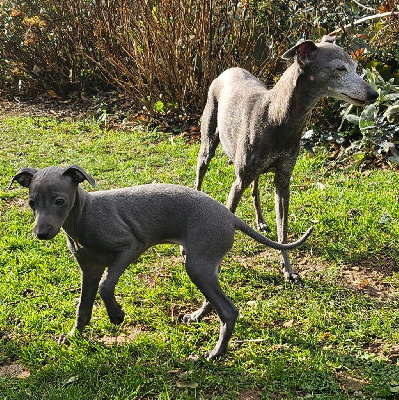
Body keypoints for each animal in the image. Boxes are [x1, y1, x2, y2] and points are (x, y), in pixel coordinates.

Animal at [10, 165, 314, 360]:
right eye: (32, 203)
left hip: (197, 265)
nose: (41, 234)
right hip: (202, 261)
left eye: (60, 201)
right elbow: (83, 308)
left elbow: (107, 286)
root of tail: (230, 216)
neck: (84, 214)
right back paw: (198, 316)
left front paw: (116, 315)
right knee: (215, 299)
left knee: (228, 311)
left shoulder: (130, 246)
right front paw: (73, 336)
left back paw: (215, 353)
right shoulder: (89, 270)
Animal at [195, 36, 380, 282]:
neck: (276, 116)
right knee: (201, 172)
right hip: (208, 142)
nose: (374, 94)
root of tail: (228, 70)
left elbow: (282, 232)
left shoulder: (283, 182)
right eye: (340, 68)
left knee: (254, 189)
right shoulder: (238, 182)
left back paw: (261, 221)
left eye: (356, 67)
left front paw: (288, 270)